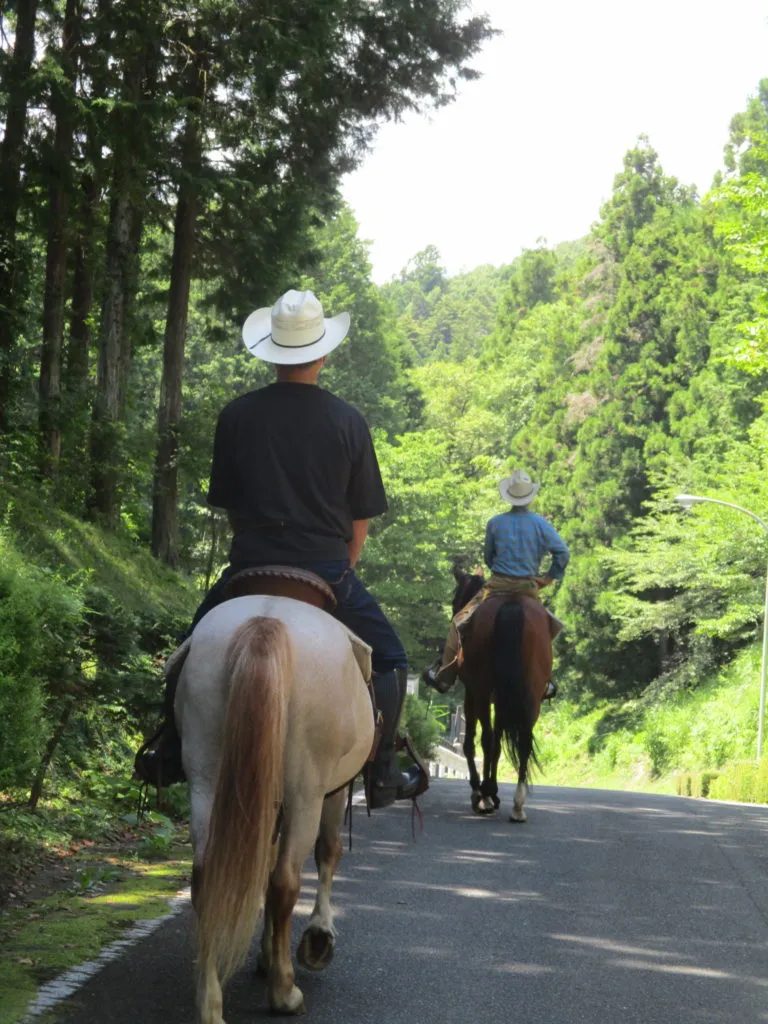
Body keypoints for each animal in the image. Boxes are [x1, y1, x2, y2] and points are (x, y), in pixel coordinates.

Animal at [177, 598, 376, 1019]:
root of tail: (266, 620)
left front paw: (267, 953)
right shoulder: (332, 792)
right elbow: (328, 851)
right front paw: (317, 938)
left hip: (206, 776)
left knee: (207, 878)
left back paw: (210, 1004)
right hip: (306, 791)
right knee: (286, 880)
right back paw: (285, 992)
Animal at [450, 569, 552, 823]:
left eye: (455, 600)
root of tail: (511, 605)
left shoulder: (473, 692)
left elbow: (474, 742)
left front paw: (482, 791)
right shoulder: (501, 699)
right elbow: (497, 743)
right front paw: (492, 791)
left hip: (482, 689)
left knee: (486, 738)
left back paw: (484, 796)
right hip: (530, 694)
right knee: (524, 741)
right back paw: (517, 804)